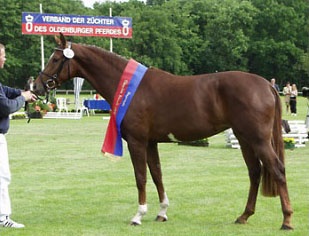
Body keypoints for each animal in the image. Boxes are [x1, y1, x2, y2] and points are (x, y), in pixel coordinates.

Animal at [32, 34, 292, 230]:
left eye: (56, 58)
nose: (36, 87)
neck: (133, 89)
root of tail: (266, 85)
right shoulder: (150, 143)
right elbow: (157, 175)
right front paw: (162, 213)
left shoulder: (136, 142)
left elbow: (141, 177)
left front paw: (138, 215)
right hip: (244, 138)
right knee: (255, 173)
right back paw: (244, 216)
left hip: (258, 139)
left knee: (277, 169)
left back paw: (287, 220)